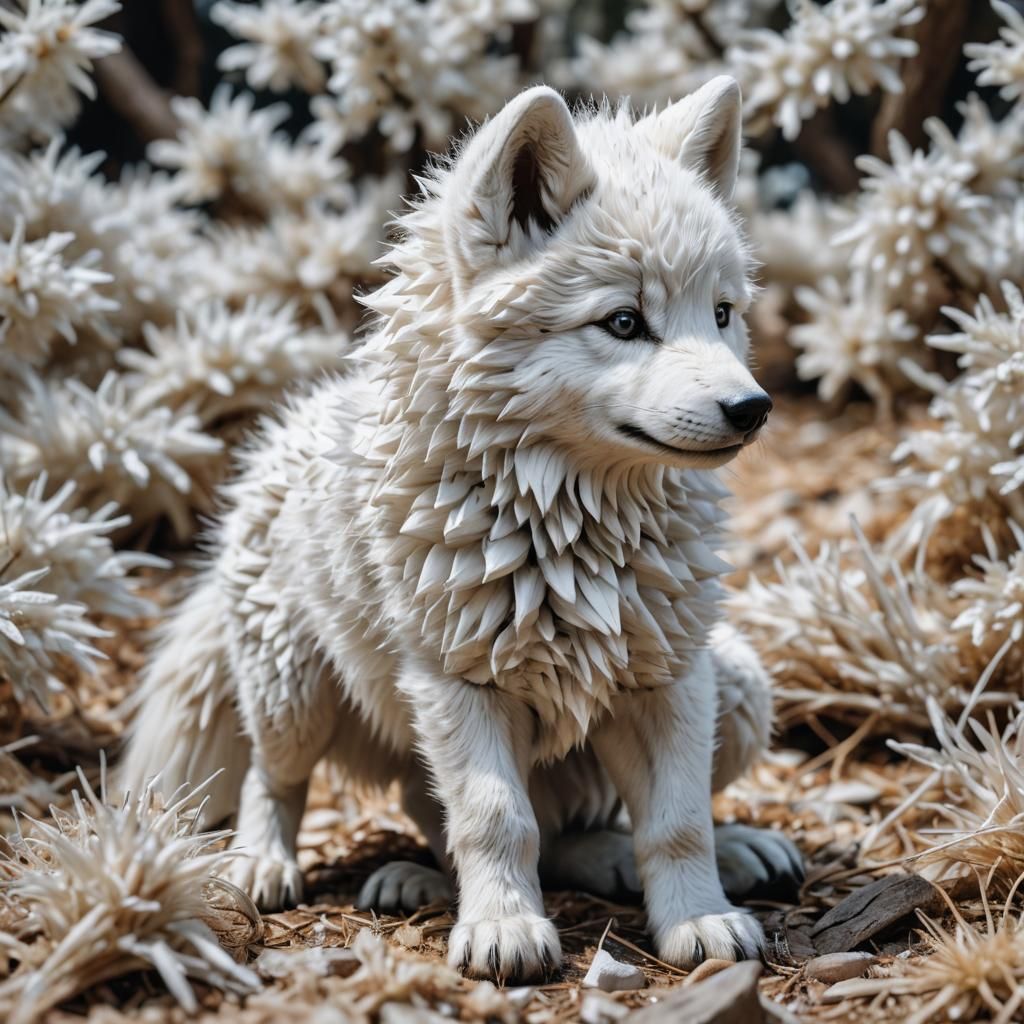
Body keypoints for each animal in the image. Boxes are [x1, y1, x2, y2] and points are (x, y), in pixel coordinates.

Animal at [120, 75, 802, 982]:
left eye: (722, 313)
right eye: (624, 323)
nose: (752, 408)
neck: (567, 524)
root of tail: (291, 428)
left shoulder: (670, 680)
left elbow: (677, 821)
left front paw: (700, 919)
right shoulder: (457, 686)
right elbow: (493, 820)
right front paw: (505, 931)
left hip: (742, 683)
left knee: (566, 830)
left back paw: (704, 852)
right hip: (293, 693)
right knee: (288, 782)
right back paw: (281, 866)